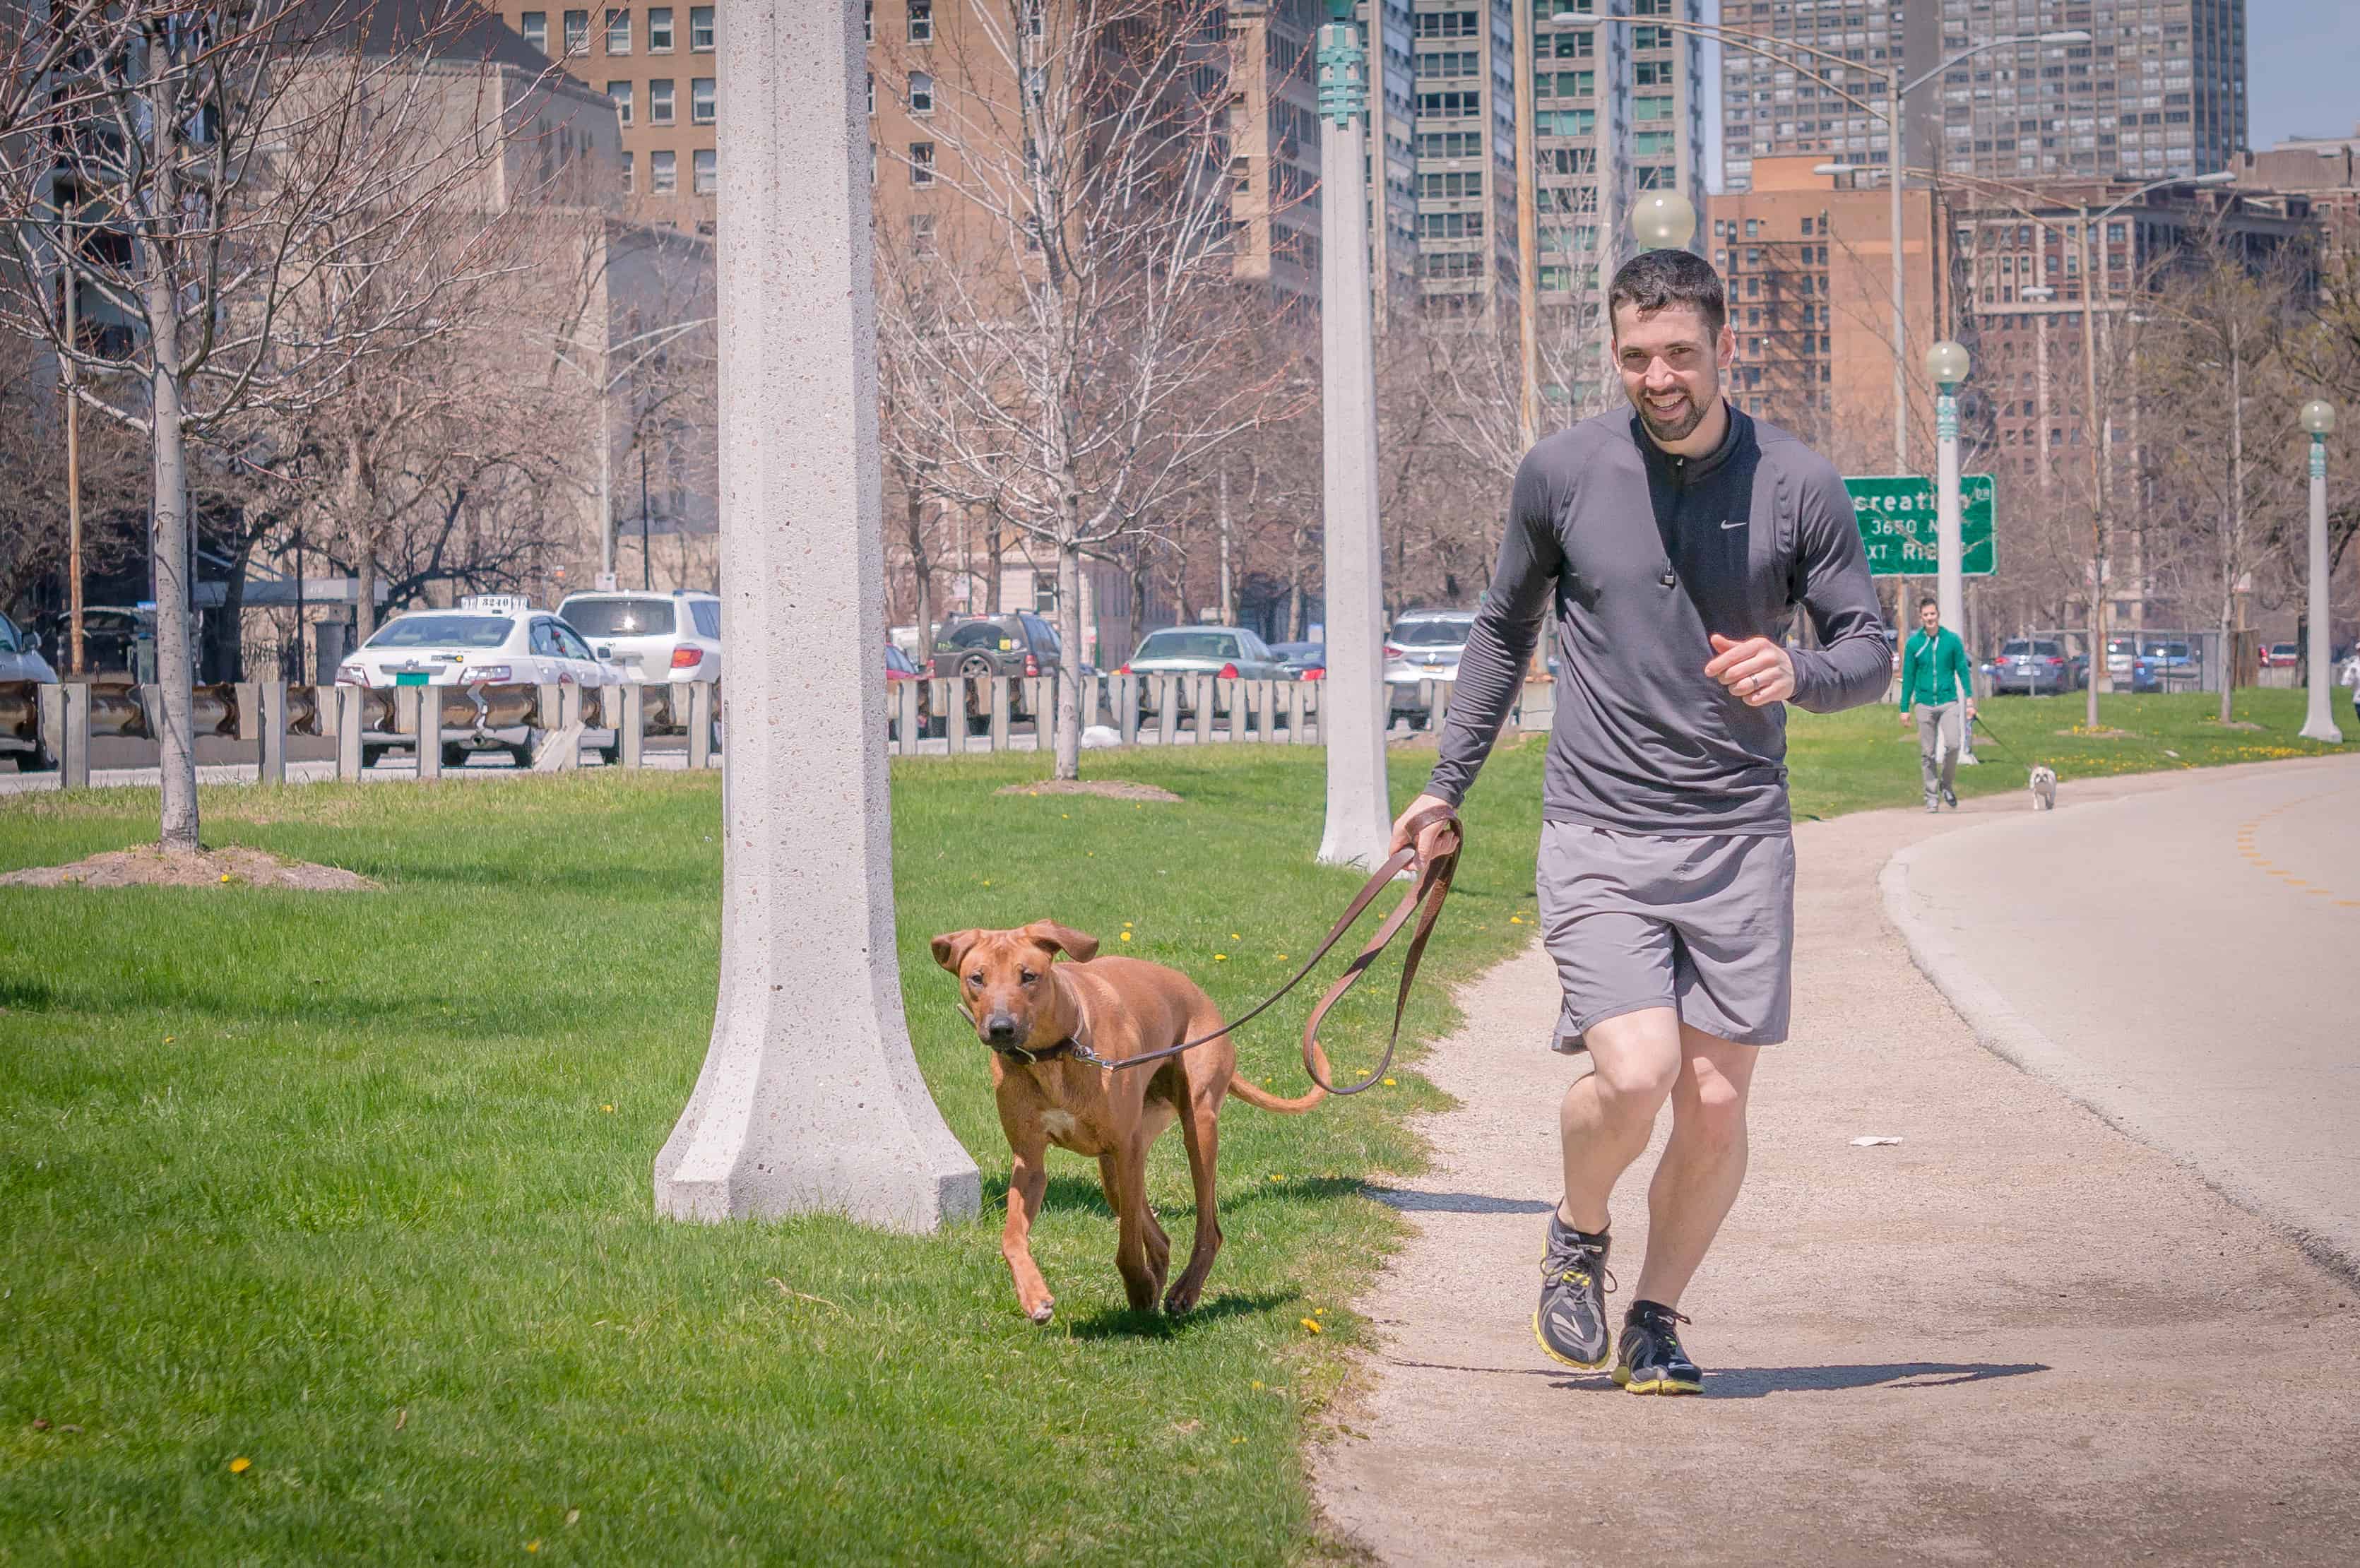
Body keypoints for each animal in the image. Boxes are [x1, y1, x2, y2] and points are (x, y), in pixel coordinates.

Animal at [930, 920, 1331, 1322]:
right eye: (977, 978)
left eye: (1028, 976)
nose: (1001, 1029)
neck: (1056, 1053)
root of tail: (1204, 1000)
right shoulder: (1030, 1161)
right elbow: (1011, 1238)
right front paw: (1034, 1296)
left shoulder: (1126, 1148)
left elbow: (1127, 1243)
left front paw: (1137, 1287)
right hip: (1117, 1165)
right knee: (1160, 1237)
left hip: (1195, 1127)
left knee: (1208, 1228)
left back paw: (1184, 1290)